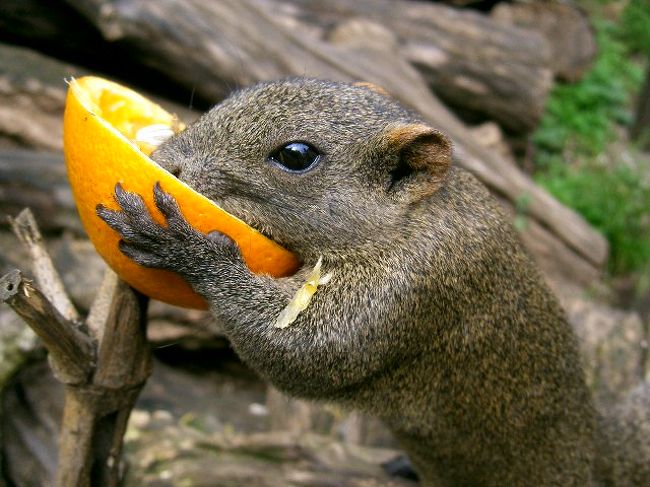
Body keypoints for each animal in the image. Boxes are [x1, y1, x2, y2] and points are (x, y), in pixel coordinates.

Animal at [97, 78, 648, 486]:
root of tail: (596, 452)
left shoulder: (417, 284)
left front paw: (184, 248)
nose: (163, 161)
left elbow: (300, 349)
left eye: (296, 155)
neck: (409, 220)